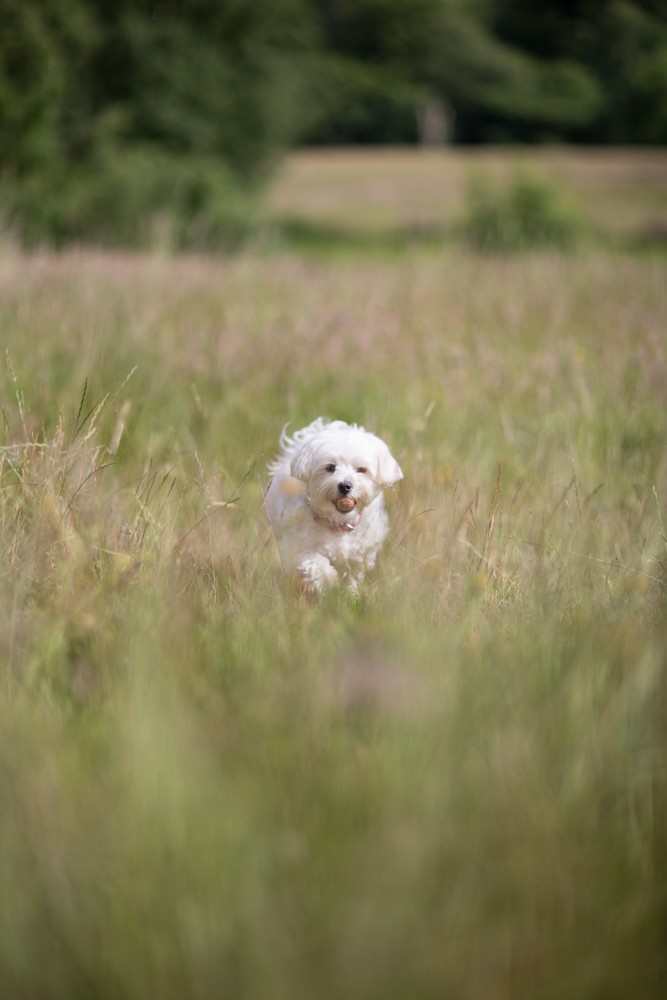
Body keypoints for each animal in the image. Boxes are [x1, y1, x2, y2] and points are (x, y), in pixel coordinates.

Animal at [264, 416, 402, 592]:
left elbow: (353, 575)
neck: (337, 523)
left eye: (361, 469)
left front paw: (350, 594)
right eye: (330, 467)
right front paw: (330, 581)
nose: (345, 486)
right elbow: (317, 565)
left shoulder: (359, 553)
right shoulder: (299, 549)